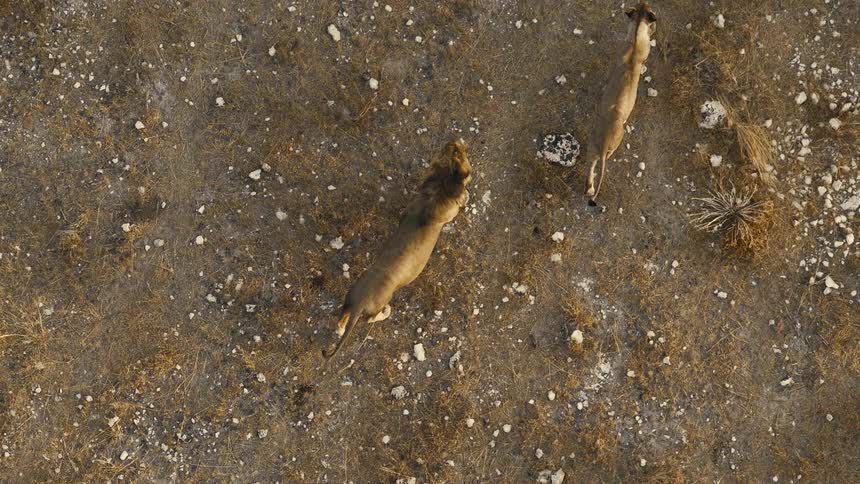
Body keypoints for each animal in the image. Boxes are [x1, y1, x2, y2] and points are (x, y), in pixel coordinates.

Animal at [322, 139, 472, 359]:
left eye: (451, 150)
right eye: (459, 154)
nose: (455, 139)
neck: (438, 190)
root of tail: (360, 302)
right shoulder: (449, 211)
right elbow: (460, 201)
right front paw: (467, 195)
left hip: (348, 299)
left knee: (341, 319)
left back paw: (340, 329)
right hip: (381, 301)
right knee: (371, 318)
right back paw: (386, 313)